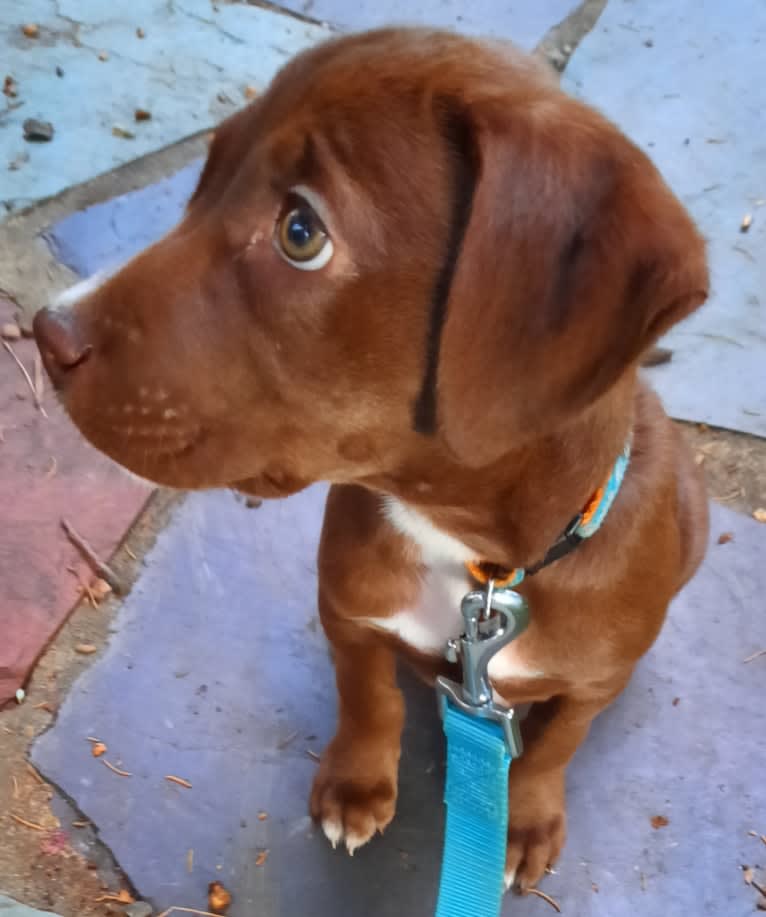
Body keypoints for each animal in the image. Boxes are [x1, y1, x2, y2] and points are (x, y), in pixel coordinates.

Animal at [34, 30, 708, 896]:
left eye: (300, 231)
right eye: (205, 176)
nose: (46, 334)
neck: (473, 557)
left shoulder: (589, 679)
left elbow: (557, 744)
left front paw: (524, 819)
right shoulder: (348, 611)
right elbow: (367, 698)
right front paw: (356, 787)